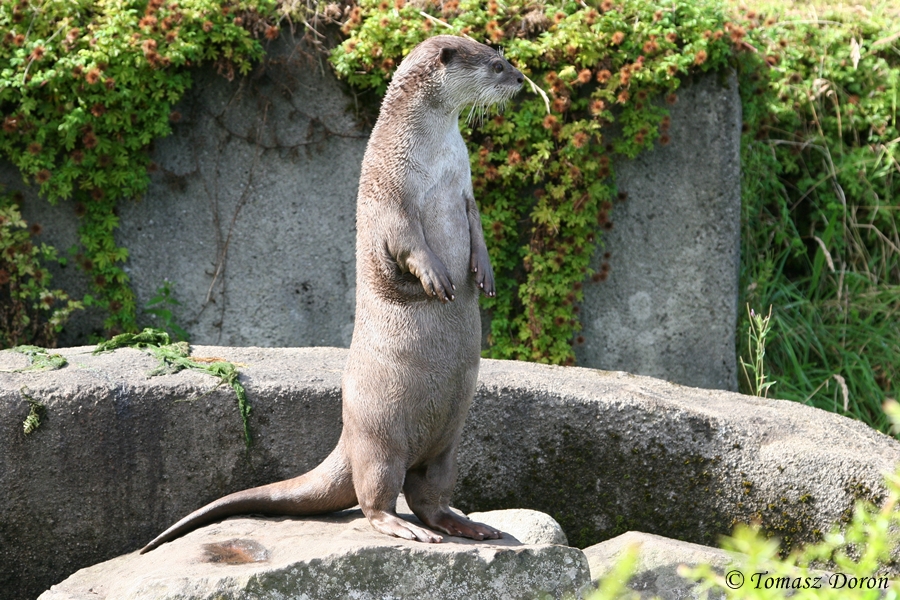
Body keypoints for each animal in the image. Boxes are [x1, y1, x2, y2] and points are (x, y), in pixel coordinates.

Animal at [140, 35, 524, 553]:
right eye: (496, 65)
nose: (520, 79)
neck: (435, 161)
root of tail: (347, 434)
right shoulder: (389, 193)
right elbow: (406, 241)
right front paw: (436, 276)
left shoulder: (464, 190)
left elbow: (477, 229)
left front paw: (484, 274)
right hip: (381, 437)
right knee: (375, 497)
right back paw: (404, 528)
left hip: (448, 445)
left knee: (430, 495)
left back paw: (467, 525)